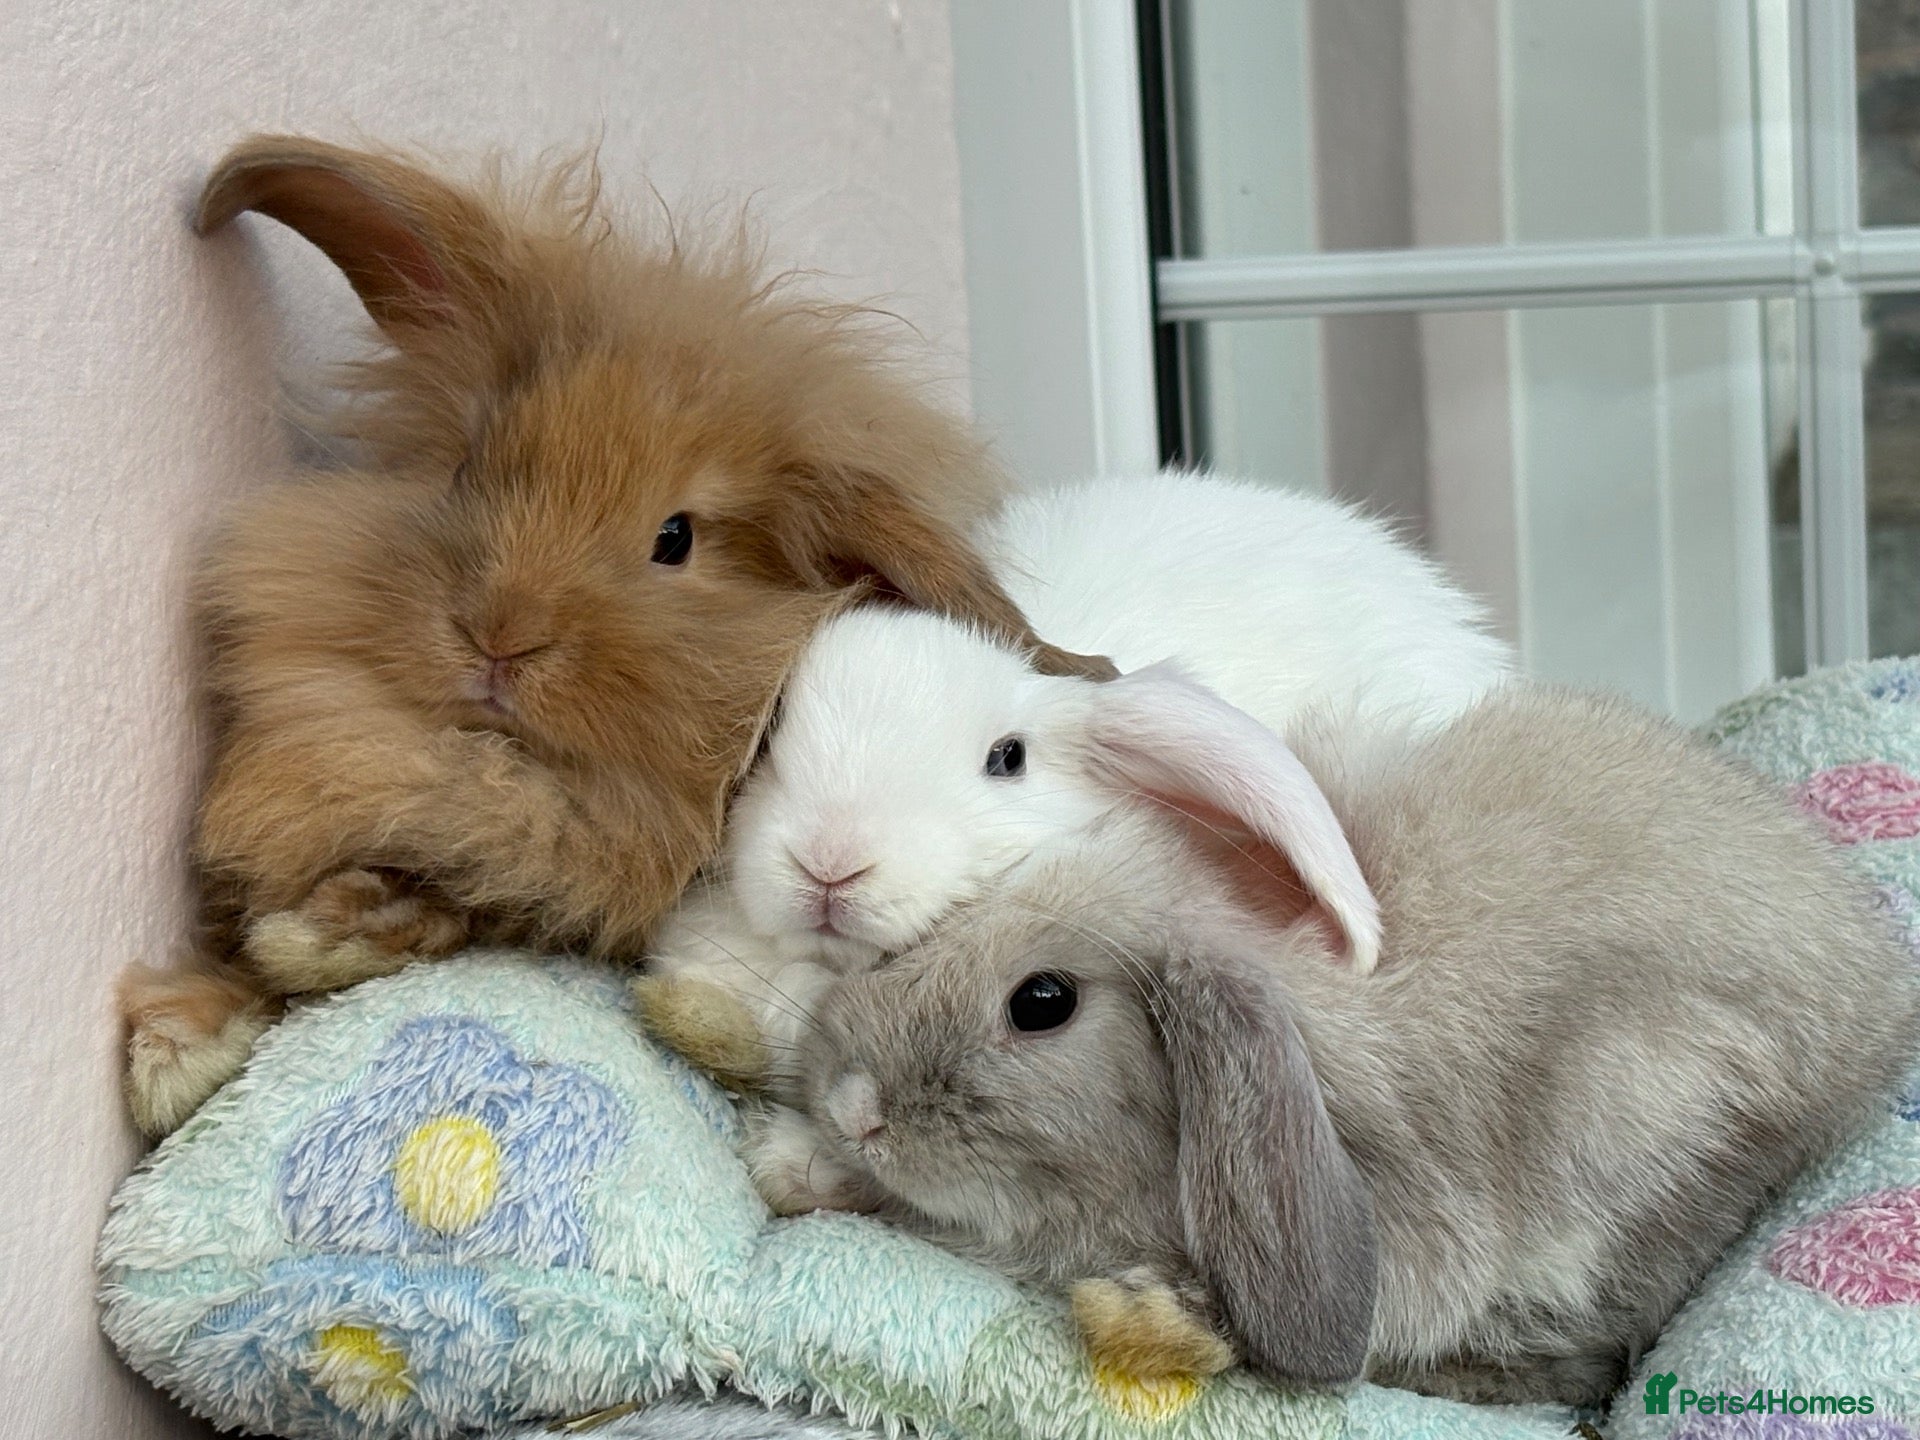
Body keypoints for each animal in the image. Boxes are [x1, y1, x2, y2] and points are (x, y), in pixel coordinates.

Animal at [119, 135, 1111, 1138]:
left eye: (675, 538)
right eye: (470, 468)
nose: (500, 638)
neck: (492, 779)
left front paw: (320, 939)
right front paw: (178, 1044)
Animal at [744, 667, 1920, 1406]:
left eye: (1042, 1002)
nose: (854, 1101)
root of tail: (1879, 1007)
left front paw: (1148, 1319)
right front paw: (791, 1162)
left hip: (1638, 1126)